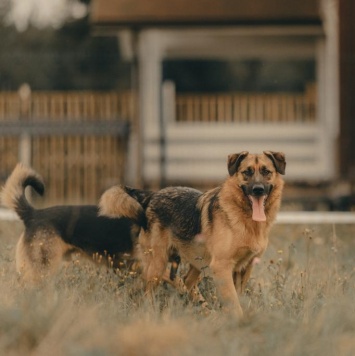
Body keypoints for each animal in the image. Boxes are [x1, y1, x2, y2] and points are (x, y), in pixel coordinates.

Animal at [99, 151, 286, 318]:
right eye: (247, 172)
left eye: (266, 172)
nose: (258, 190)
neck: (245, 218)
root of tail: (151, 196)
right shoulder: (222, 267)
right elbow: (234, 304)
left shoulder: (244, 269)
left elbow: (236, 300)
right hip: (158, 263)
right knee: (150, 288)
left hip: (196, 263)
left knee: (185, 281)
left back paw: (202, 309)